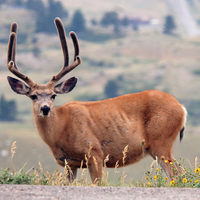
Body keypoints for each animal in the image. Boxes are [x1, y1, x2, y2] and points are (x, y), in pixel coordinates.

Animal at [6, 17, 188, 184]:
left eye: (53, 95)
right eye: (33, 96)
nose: (45, 109)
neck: (61, 129)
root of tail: (181, 108)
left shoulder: (95, 152)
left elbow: (97, 183)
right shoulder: (69, 163)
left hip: (161, 140)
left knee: (178, 174)